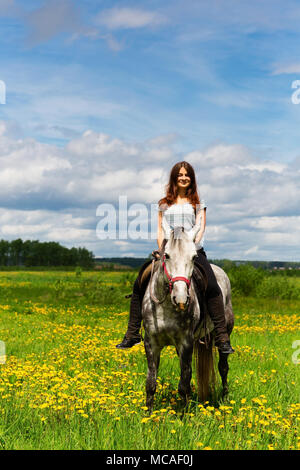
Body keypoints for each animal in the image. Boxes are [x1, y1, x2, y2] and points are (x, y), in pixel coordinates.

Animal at [141, 222, 234, 410]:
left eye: (193, 257)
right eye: (166, 255)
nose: (181, 298)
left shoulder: (186, 342)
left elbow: (184, 383)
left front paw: (184, 415)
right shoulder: (151, 343)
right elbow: (151, 383)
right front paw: (148, 413)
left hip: (224, 333)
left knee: (223, 367)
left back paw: (225, 397)